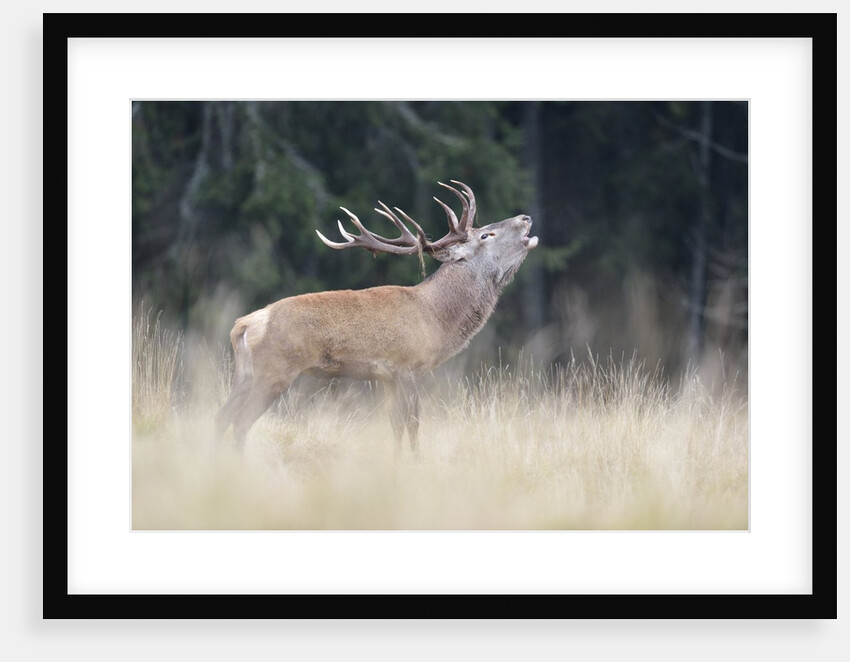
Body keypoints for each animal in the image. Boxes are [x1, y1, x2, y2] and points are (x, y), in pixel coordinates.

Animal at [215, 180, 538, 451]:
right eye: (486, 234)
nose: (525, 218)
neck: (435, 319)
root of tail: (245, 324)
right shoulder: (408, 366)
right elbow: (413, 424)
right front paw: (416, 464)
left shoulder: (387, 377)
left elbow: (395, 426)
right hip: (274, 371)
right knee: (240, 421)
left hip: (244, 374)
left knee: (222, 415)